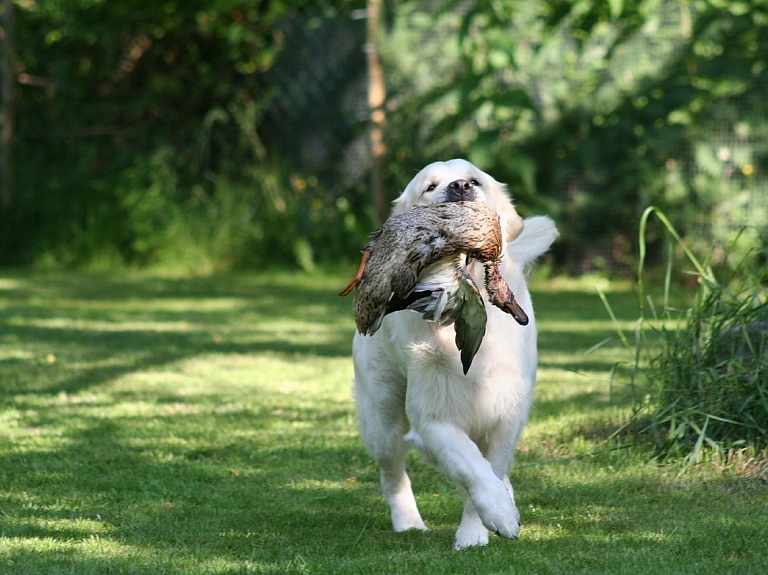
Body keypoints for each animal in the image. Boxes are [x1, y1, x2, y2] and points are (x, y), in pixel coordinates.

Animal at [350, 158, 560, 548]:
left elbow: (490, 465)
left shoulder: (508, 411)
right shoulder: (433, 416)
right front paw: (497, 515)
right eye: (430, 187)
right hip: (382, 413)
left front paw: (477, 528)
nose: (460, 187)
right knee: (392, 471)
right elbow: (471, 465)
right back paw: (408, 521)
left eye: (475, 180)